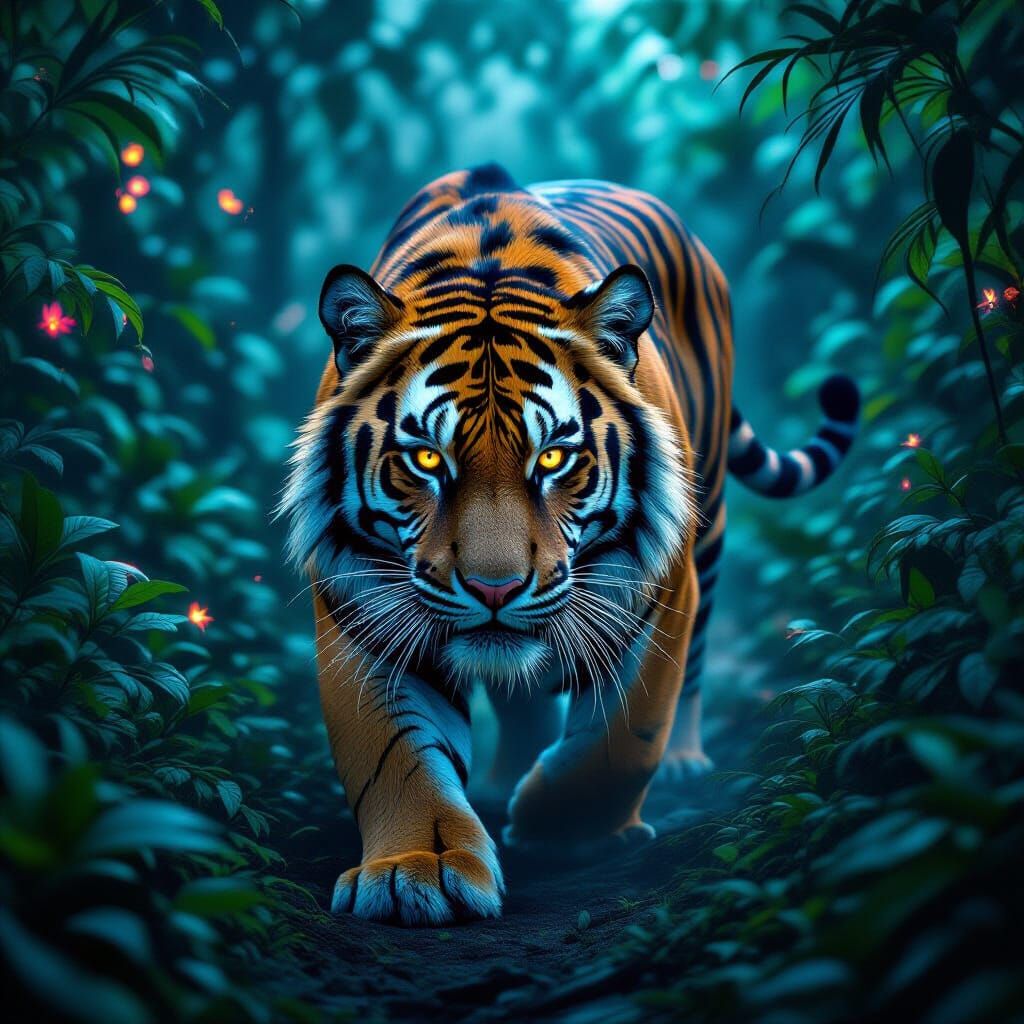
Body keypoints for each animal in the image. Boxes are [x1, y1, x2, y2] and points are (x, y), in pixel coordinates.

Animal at [280, 163, 859, 926]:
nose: (494, 589)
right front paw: (416, 870)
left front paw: (563, 833)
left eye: (553, 457)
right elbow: (396, 755)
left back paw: (680, 760)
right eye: (428, 460)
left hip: (708, 529)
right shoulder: (363, 606)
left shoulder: (658, 585)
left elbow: (622, 739)